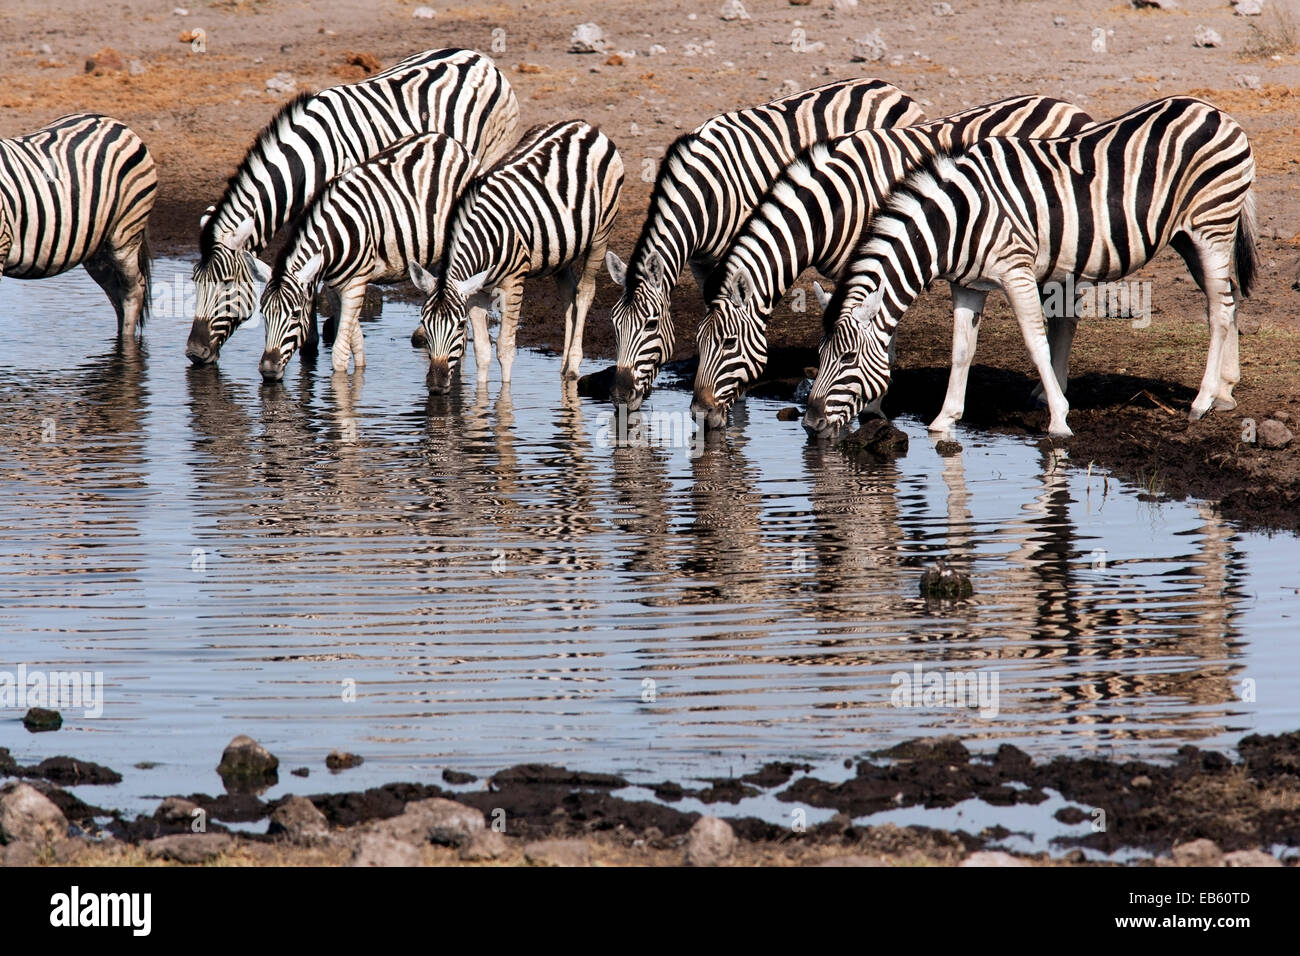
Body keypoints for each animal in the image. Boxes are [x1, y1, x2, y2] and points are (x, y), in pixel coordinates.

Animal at [257, 133, 479, 382]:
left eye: (295, 315)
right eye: (263, 313)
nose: (268, 370)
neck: (335, 233)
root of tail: (449, 141)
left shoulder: (355, 283)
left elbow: (340, 352)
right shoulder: (335, 285)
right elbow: (356, 341)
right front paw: (359, 374)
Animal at [408, 121, 623, 393]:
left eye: (459, 325)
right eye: (424, 322)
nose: (436, 385)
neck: (485, 236)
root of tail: (583, 125)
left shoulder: (513, 282)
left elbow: (505, 348)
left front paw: (504, 398)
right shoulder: (475, 290)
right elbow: (482, 350)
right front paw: (481, 398)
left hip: (601, 233)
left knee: (584, 292)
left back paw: (574, 364)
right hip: (561, 249)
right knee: (568, 294)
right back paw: (564, 368)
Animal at [604, 78, 924, 410]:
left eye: (650, 324)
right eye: (614, 325)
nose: (620, 396)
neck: (704, 194)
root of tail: (887, 86)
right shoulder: (701, 262)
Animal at [691, 95, 1094, 429]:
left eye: (728, 343)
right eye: (698, 342)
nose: (698, 413)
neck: (833, 204)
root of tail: (1068, 105)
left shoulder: (878, 256)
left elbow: (879, 336)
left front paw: (871, 407)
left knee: (1065, 317)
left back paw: (1050, 394)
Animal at [802, 96, 1257, 440]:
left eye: (847, 358)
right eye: (819, 354)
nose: (809, 424)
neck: (957, 220)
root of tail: (1214, 110)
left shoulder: (1016, 271)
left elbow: (1036, 341)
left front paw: (1058, 418)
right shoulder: (967, 284)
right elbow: (961, 349)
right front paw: (944, 420)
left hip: (1211, 227)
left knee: (1219, 311)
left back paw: (1201, 402)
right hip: (1188, 237)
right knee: (1231, 299)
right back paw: (1224, 392)